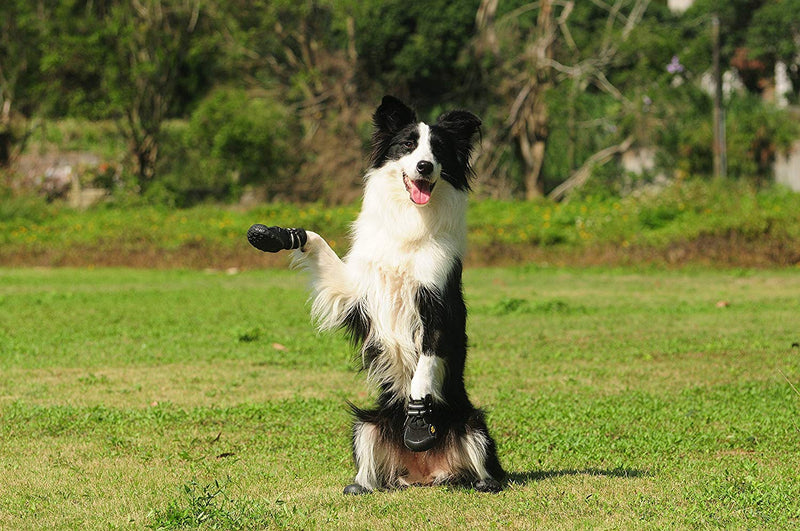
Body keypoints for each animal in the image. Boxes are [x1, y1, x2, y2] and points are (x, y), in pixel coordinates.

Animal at [247, 95, 504, 494]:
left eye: (439, 150)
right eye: (408, 146)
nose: (425, 166)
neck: (409, 221)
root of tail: (424, 474)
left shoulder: (437, 306)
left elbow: (424, 368)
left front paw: (418, 422)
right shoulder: (354, 292)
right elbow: (316, 241)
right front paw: (278, 234)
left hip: (473, 425)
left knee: (486, 467)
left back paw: (484, 481)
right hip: (366, 424)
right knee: (369, 461)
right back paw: (360, 485)